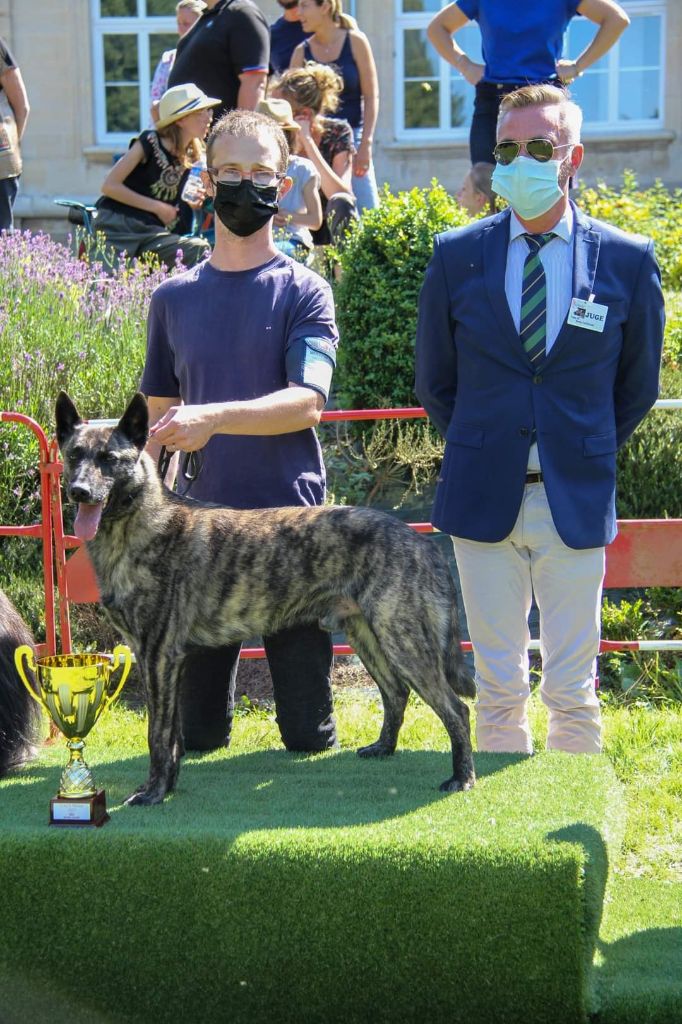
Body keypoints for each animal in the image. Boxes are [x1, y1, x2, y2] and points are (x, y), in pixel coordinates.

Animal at [55, 391, 476, 806]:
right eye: (74, 455)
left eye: (109, 459)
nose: (79, 491)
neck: (138, 525)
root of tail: (421, 541)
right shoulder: (159, 660)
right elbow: (173, 737)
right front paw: (167, 786)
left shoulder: (159, 657)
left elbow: (158, 736)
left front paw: (154, 792)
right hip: (367, 636)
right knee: (396, 693)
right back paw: (384, 748)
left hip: (402, 640)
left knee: (455, 709)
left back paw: (462, 778)